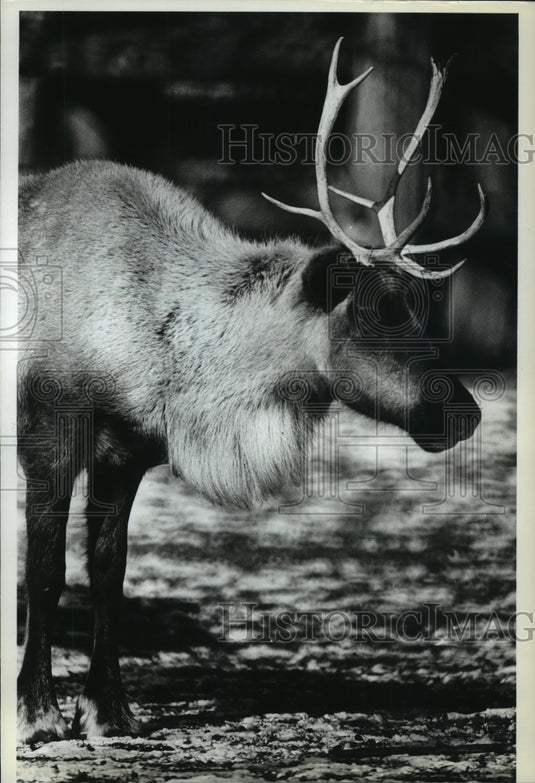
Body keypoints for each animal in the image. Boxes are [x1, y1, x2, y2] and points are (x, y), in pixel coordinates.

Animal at [17, 38, 486, 743]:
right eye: (374, 314)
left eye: (412, 308)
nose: (464, 411)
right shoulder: (47, 435)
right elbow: (45, 575)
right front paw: (39, 713)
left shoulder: (125, 450)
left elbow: (107, 573)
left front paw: (109, 711)